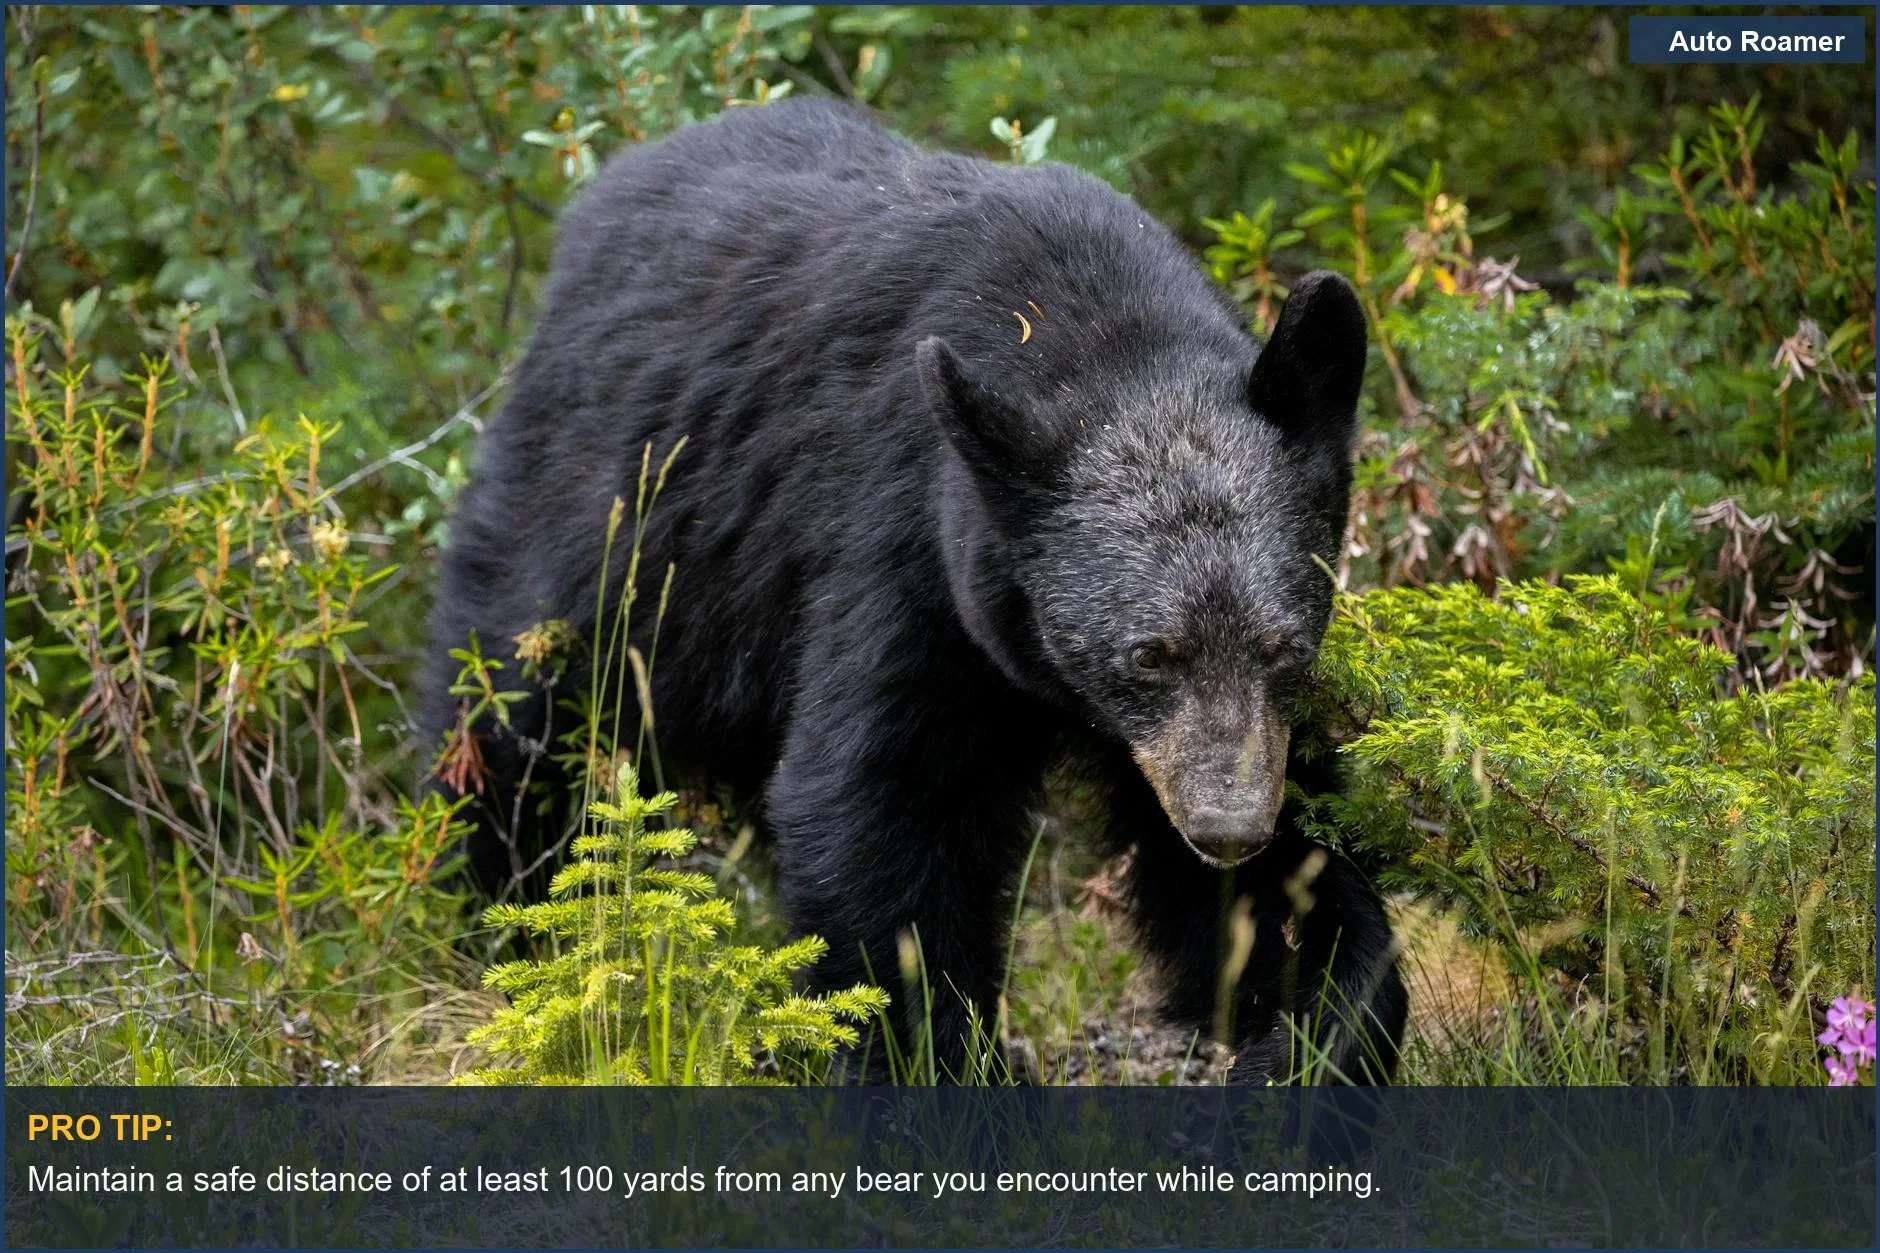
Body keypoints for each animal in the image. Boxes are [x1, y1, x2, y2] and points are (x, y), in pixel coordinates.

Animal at [423, 97, 1407, 1086]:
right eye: (1148, 654)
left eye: (1285, 644)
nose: (1228, 827)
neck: (1096, 333)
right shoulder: (904, 545)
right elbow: (883, 799)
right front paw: (930, 1054)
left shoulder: (1217, 728)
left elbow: (1281, 862)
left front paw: (1312, 1023)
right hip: (605, 529)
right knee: (509, 718)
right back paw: (500, 922)